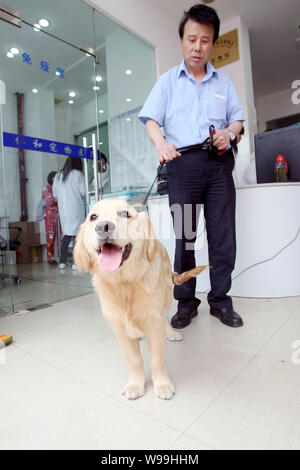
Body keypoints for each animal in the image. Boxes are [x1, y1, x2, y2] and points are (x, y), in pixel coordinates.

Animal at [74, 198, 207, 400]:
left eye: (124, 214)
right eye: (93, 217)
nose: (103, 227)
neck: (125, 283)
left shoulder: (154, 322)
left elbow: (157, 360)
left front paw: (162, 385)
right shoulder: (120, 328)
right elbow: (134, 360)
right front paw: (135, 385)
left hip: (166, 295)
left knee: (166, 316)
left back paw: (171, 333)